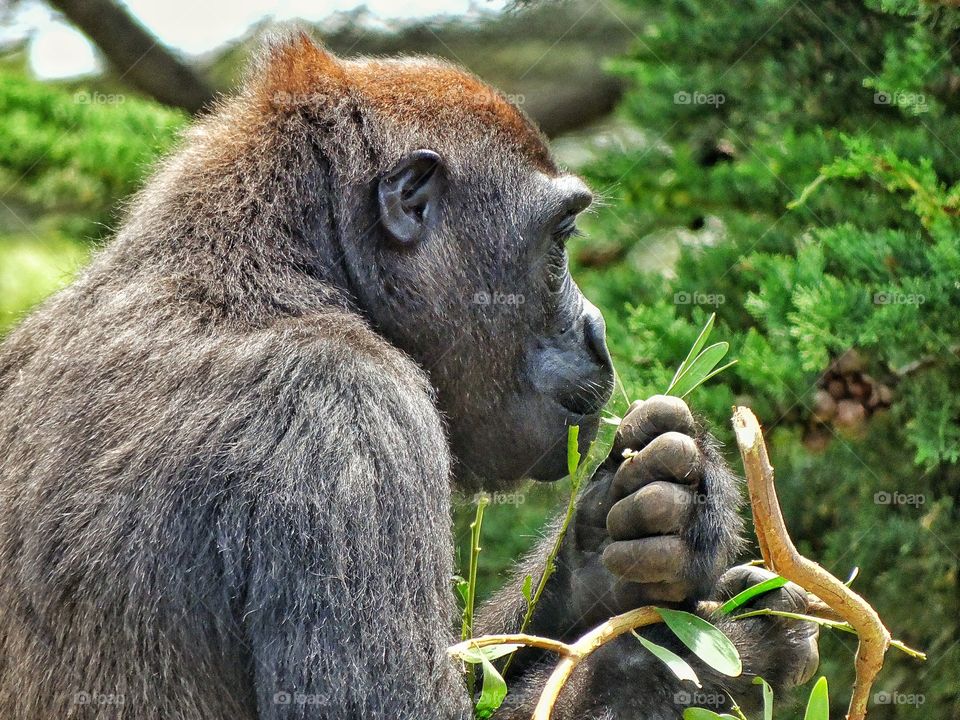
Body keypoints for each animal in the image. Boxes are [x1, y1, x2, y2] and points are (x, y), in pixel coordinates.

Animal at [0, 35, 816, 720]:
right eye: (560, 241)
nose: (596, 328)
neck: (279, 262)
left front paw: (640, 526)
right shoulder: (349, 413)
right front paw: (711, 658)